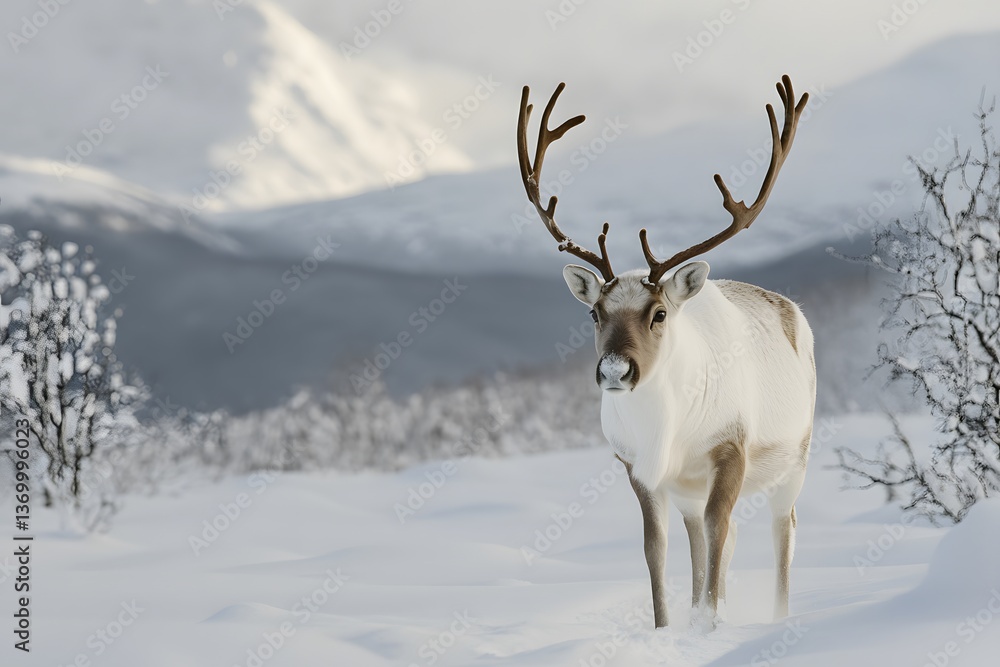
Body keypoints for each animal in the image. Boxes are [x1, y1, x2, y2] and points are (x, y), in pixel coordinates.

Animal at [516, 76, 815, 630]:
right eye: (595, 314)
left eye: (658, 313)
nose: (615, 369)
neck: (667, 426)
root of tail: (792, 309)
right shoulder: (639, 468)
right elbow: (656, 549)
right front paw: (670, 627)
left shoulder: (731, 450)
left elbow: (720, 530)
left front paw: (711, 624)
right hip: (688, 489)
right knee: (709, 540)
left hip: (794, 460)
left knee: (779, 530)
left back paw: (778, 616)